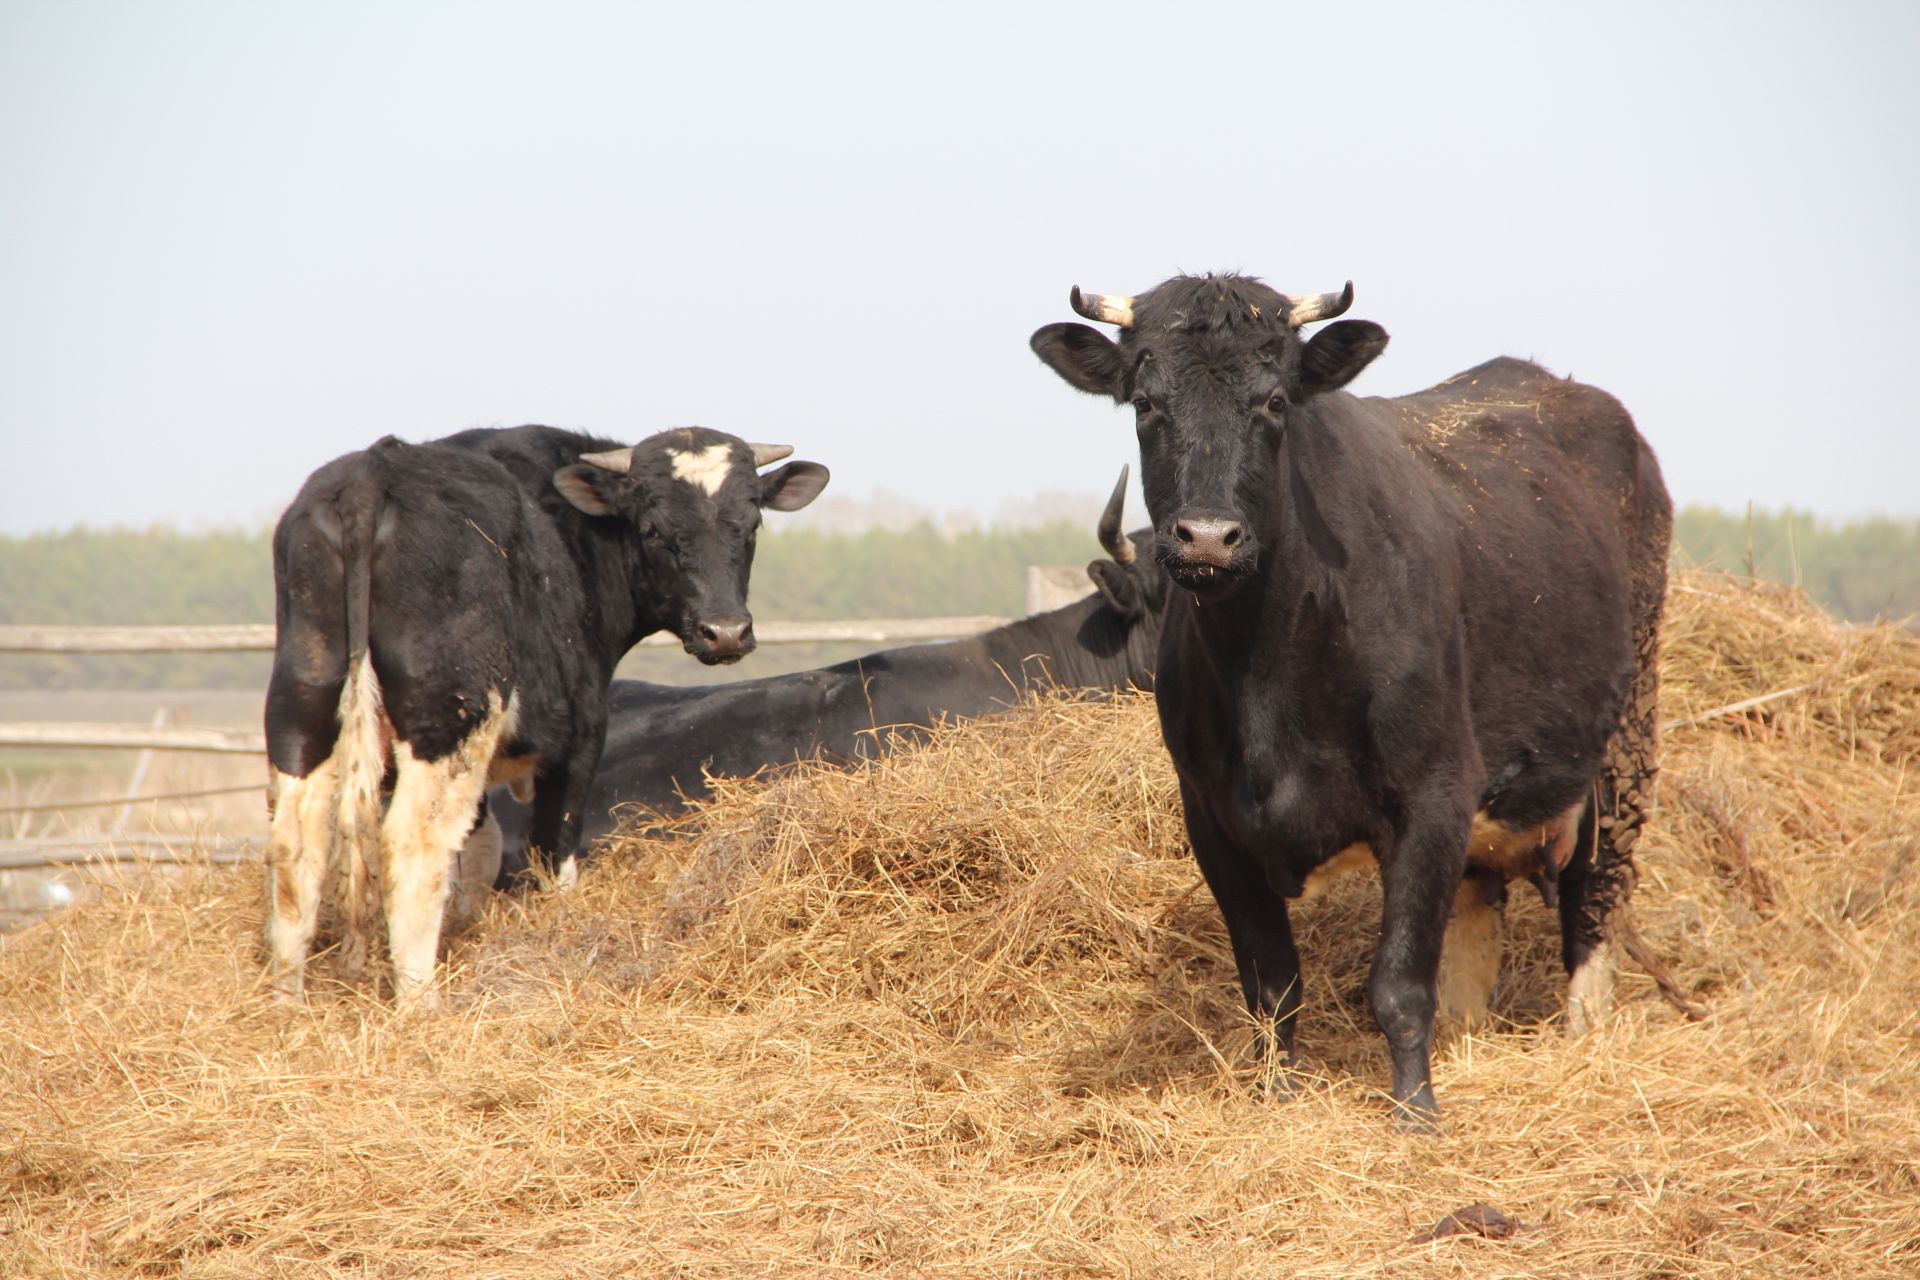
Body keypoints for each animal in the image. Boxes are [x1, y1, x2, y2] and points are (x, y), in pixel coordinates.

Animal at [263, 426, 825, 1005]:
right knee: (412, 843)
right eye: (652, 528)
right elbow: (555, 857)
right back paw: (421, 1003)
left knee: (297, 844)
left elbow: (480, 851)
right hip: (451, 719)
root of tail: (376, 467)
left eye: (752, 521)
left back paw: (290, 1003)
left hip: (302, 703)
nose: (725, 631)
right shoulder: (580, 740)